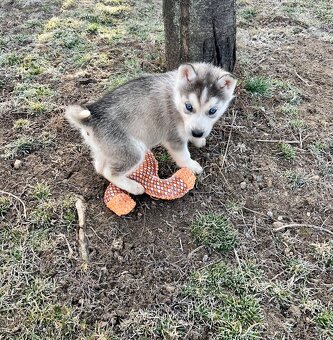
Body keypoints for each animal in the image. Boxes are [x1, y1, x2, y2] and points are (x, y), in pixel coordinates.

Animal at [65, 61, 236, 194]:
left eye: (212, 111)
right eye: (189, 107)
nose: (198, 133)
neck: (176, 98)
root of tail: (92, 116)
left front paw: (198, 140)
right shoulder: (173, 138)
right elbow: (183, 155)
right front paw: (191, 165)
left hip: (107, 149)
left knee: (100, 167)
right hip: (133, 151)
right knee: (110, 172)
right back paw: (134, 187)